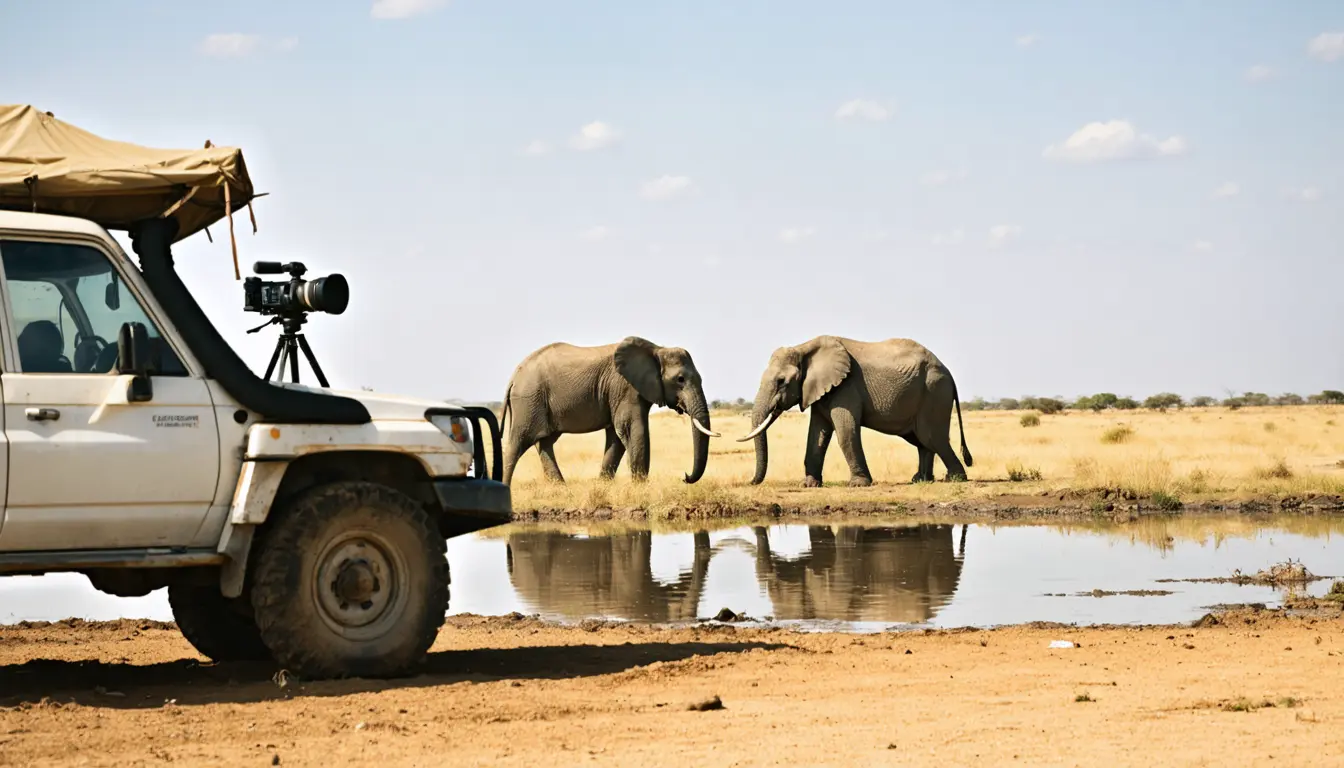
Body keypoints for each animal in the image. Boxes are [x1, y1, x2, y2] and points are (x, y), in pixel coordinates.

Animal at [499, 336, 718, 485]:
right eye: (680, 379)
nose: (684, 476)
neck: (657, 350)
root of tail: (514, 376)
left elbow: (617, 437)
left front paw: (604, 485)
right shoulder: (624, 387)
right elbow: (632, 429)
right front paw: (641, 488)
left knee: (544, 441)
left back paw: (560, 487)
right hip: (528, 399)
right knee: (518, 442)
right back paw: (505, 486)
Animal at [736, 336, 973, 487]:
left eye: (781, 381)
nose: (750, 482)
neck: (804, 348)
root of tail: (948, 373)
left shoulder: (846, 387)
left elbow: (845, 432)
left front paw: (858, 485)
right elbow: (817, 435)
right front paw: (809, 485)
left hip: (934, 392)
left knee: (932, 437)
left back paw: (955, 479)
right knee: (921, 440)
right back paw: (920, 480)